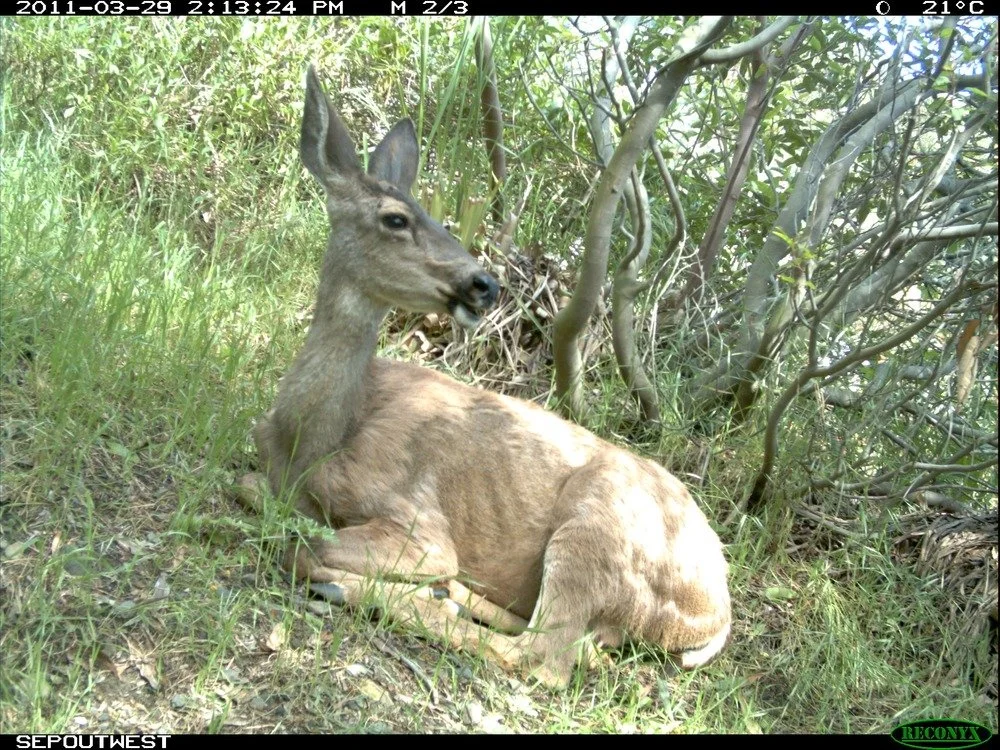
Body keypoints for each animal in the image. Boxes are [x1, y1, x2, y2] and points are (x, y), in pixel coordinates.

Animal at [236, 66, 731, 689]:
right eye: (396, 218)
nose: (485, 283)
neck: (313, 438)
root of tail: (716, 615)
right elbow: (248, 487)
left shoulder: (418, 521)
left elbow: (306, 545)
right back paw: (451, 595)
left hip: (598, 525)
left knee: (545, 658)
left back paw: (386, 593)